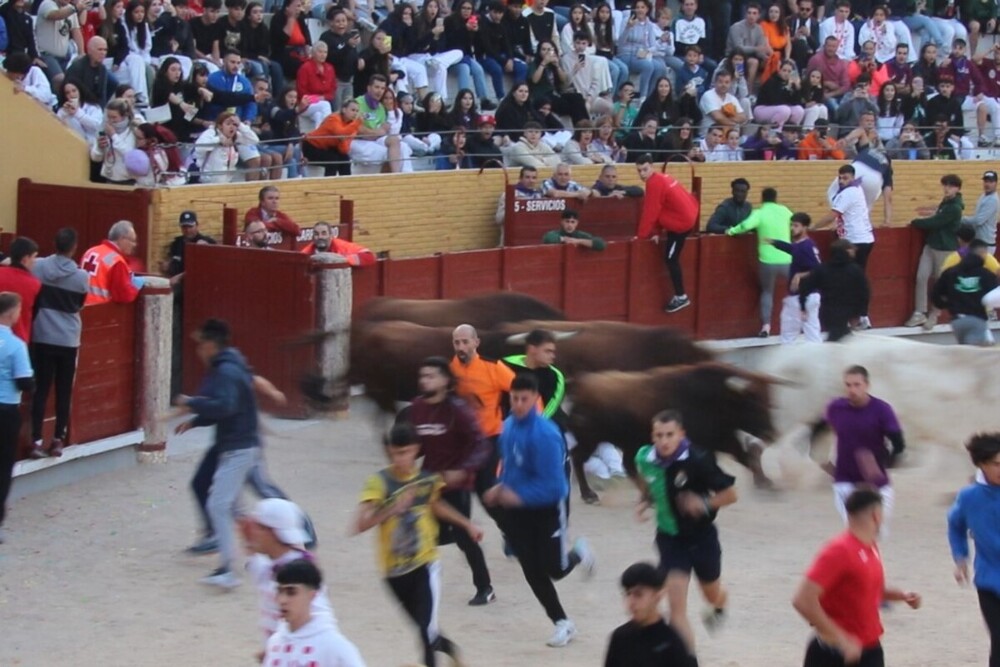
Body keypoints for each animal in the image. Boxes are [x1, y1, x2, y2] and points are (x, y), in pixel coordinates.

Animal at [568, 362, 776, 504]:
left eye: (768, 402)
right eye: (752, 404)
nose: (771, 434)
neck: (716, 398)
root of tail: (582, 385)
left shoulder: (721, 439)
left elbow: (743, 456)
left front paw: (766, 482)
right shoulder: (712, 442)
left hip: (625, 443)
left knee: (627, 465)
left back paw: (648, 496)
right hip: (591, 439)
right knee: (578, 458)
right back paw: (589, 495)